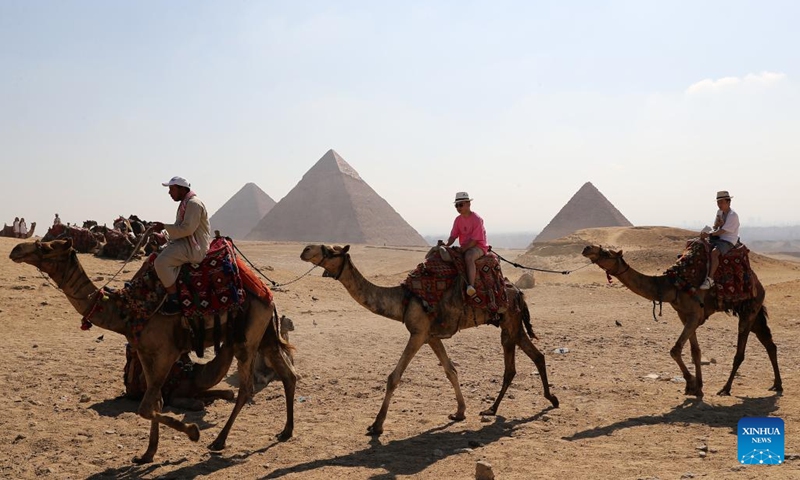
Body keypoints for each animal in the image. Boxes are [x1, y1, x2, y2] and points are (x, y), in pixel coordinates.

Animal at [10, 238, 296, 464]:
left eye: (47, 246)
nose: (16, 249)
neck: (127, 311)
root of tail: (267, 294)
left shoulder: (167, 351)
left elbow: (146, 408)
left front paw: (192, 431)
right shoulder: (145, 352)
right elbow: (154, 402)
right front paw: (147, 454)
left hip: (246, 338)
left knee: (247, 387)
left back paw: (219, 441)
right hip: (265, 336)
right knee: (288, 375)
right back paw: (285, 432)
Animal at [300, 244, 556, 436]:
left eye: (331, 250)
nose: (305, 250)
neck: (404, 299)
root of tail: (518, 291)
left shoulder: (418, 334)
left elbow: (394, 377)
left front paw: (376, 425)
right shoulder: (431, 336)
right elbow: (451, 370)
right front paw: (459, 412)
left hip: (510, 321)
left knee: (515, 364)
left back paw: (504, 407)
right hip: (512, 324)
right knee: (534, 356)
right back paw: (543, 400)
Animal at [580, 244, 780, 398]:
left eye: (607, 253)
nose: (587, 248)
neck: (672, 285)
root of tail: (758, 283)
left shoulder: (695, 314)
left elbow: (675, 350)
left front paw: (691, 383)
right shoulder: (684, 315)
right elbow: (695, 351)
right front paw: (697, 387)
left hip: (750, 309)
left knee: (740, 352)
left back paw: (726, 388)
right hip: (753, 314)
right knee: (769, 344)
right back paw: (777, 385)